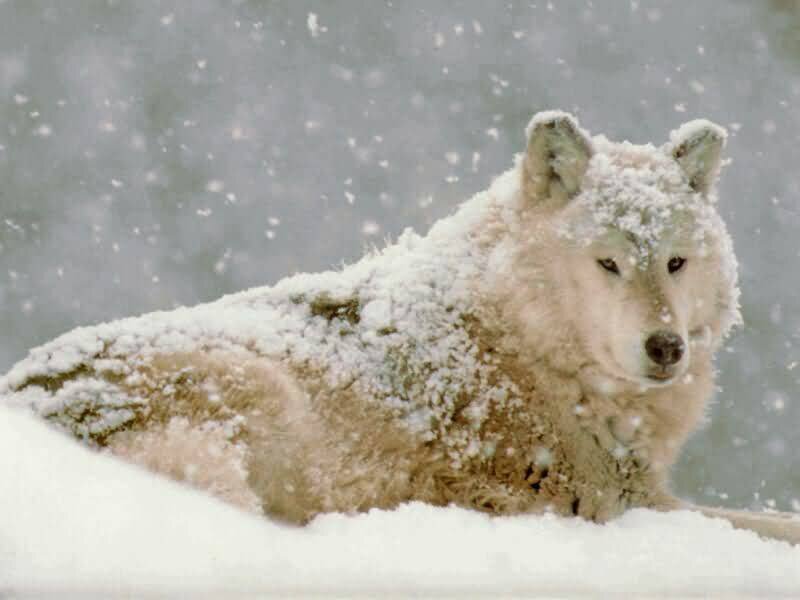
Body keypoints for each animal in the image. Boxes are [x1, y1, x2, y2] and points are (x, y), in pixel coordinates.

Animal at [2, 111, 798, 544]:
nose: (667, 347)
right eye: (607, 263)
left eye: (675, 263)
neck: (525, 344)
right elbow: (762, 523)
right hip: (252, 388)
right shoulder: (620, 504)